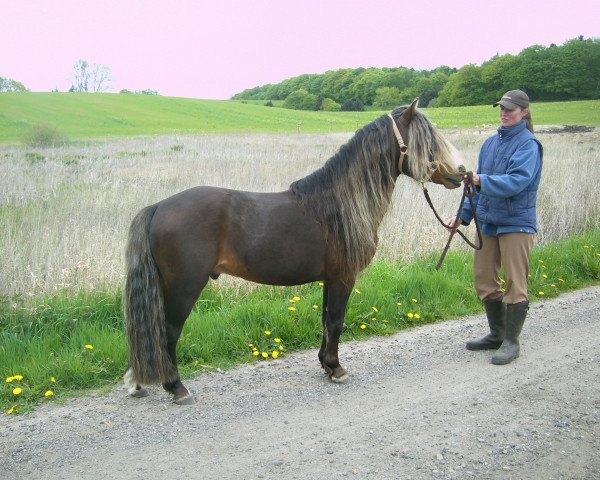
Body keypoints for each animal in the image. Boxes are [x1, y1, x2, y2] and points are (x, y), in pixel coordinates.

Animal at [120, 99, 460, 404]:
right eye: (426, 142)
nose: (459, 173)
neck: (338, 204)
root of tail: (158, 206)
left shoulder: (330, 279)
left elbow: (325, 320)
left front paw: (326, 364)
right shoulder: (343, 277)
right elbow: (336, 321)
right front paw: (336, 369)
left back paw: (138, 382)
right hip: (184, 287)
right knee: (167, 333)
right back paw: (176, 388)